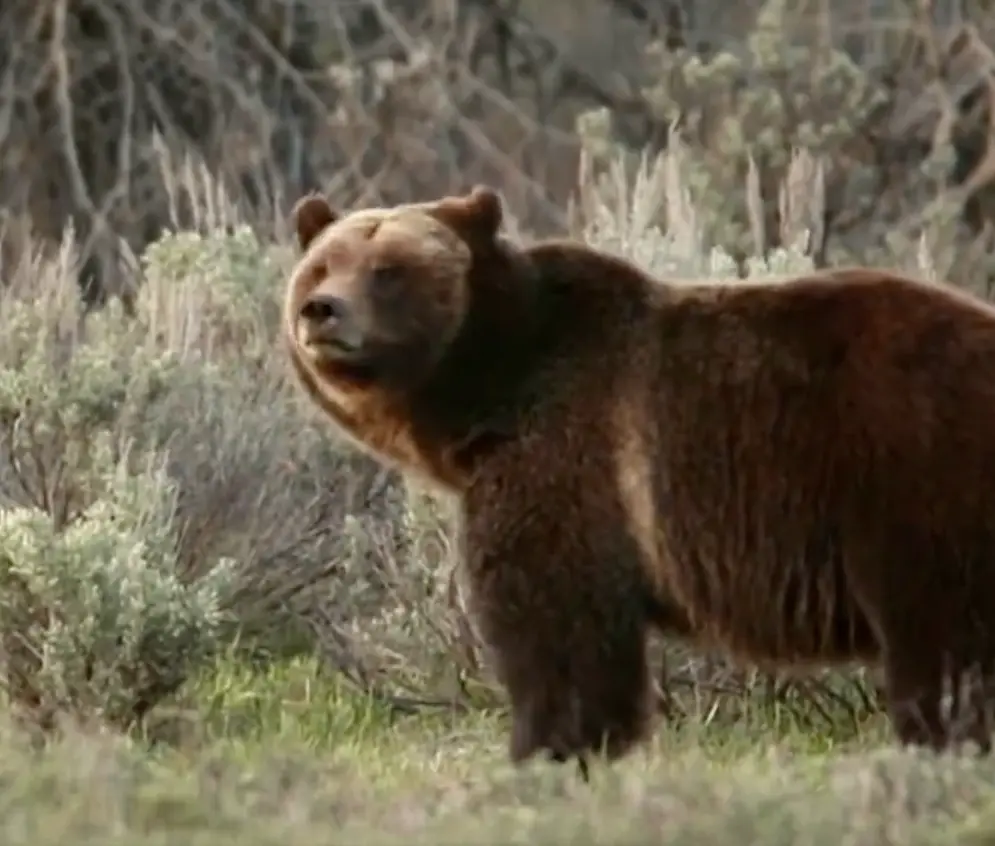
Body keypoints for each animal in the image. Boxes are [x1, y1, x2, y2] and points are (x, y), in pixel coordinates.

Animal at [286, 184, 995, 776]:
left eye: (388, 271)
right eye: (322, 265)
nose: (322, 311)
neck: (488, 390)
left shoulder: (567, 459)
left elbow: (558, 632)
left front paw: (549, 752)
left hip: (915, 485)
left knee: (941, 650)